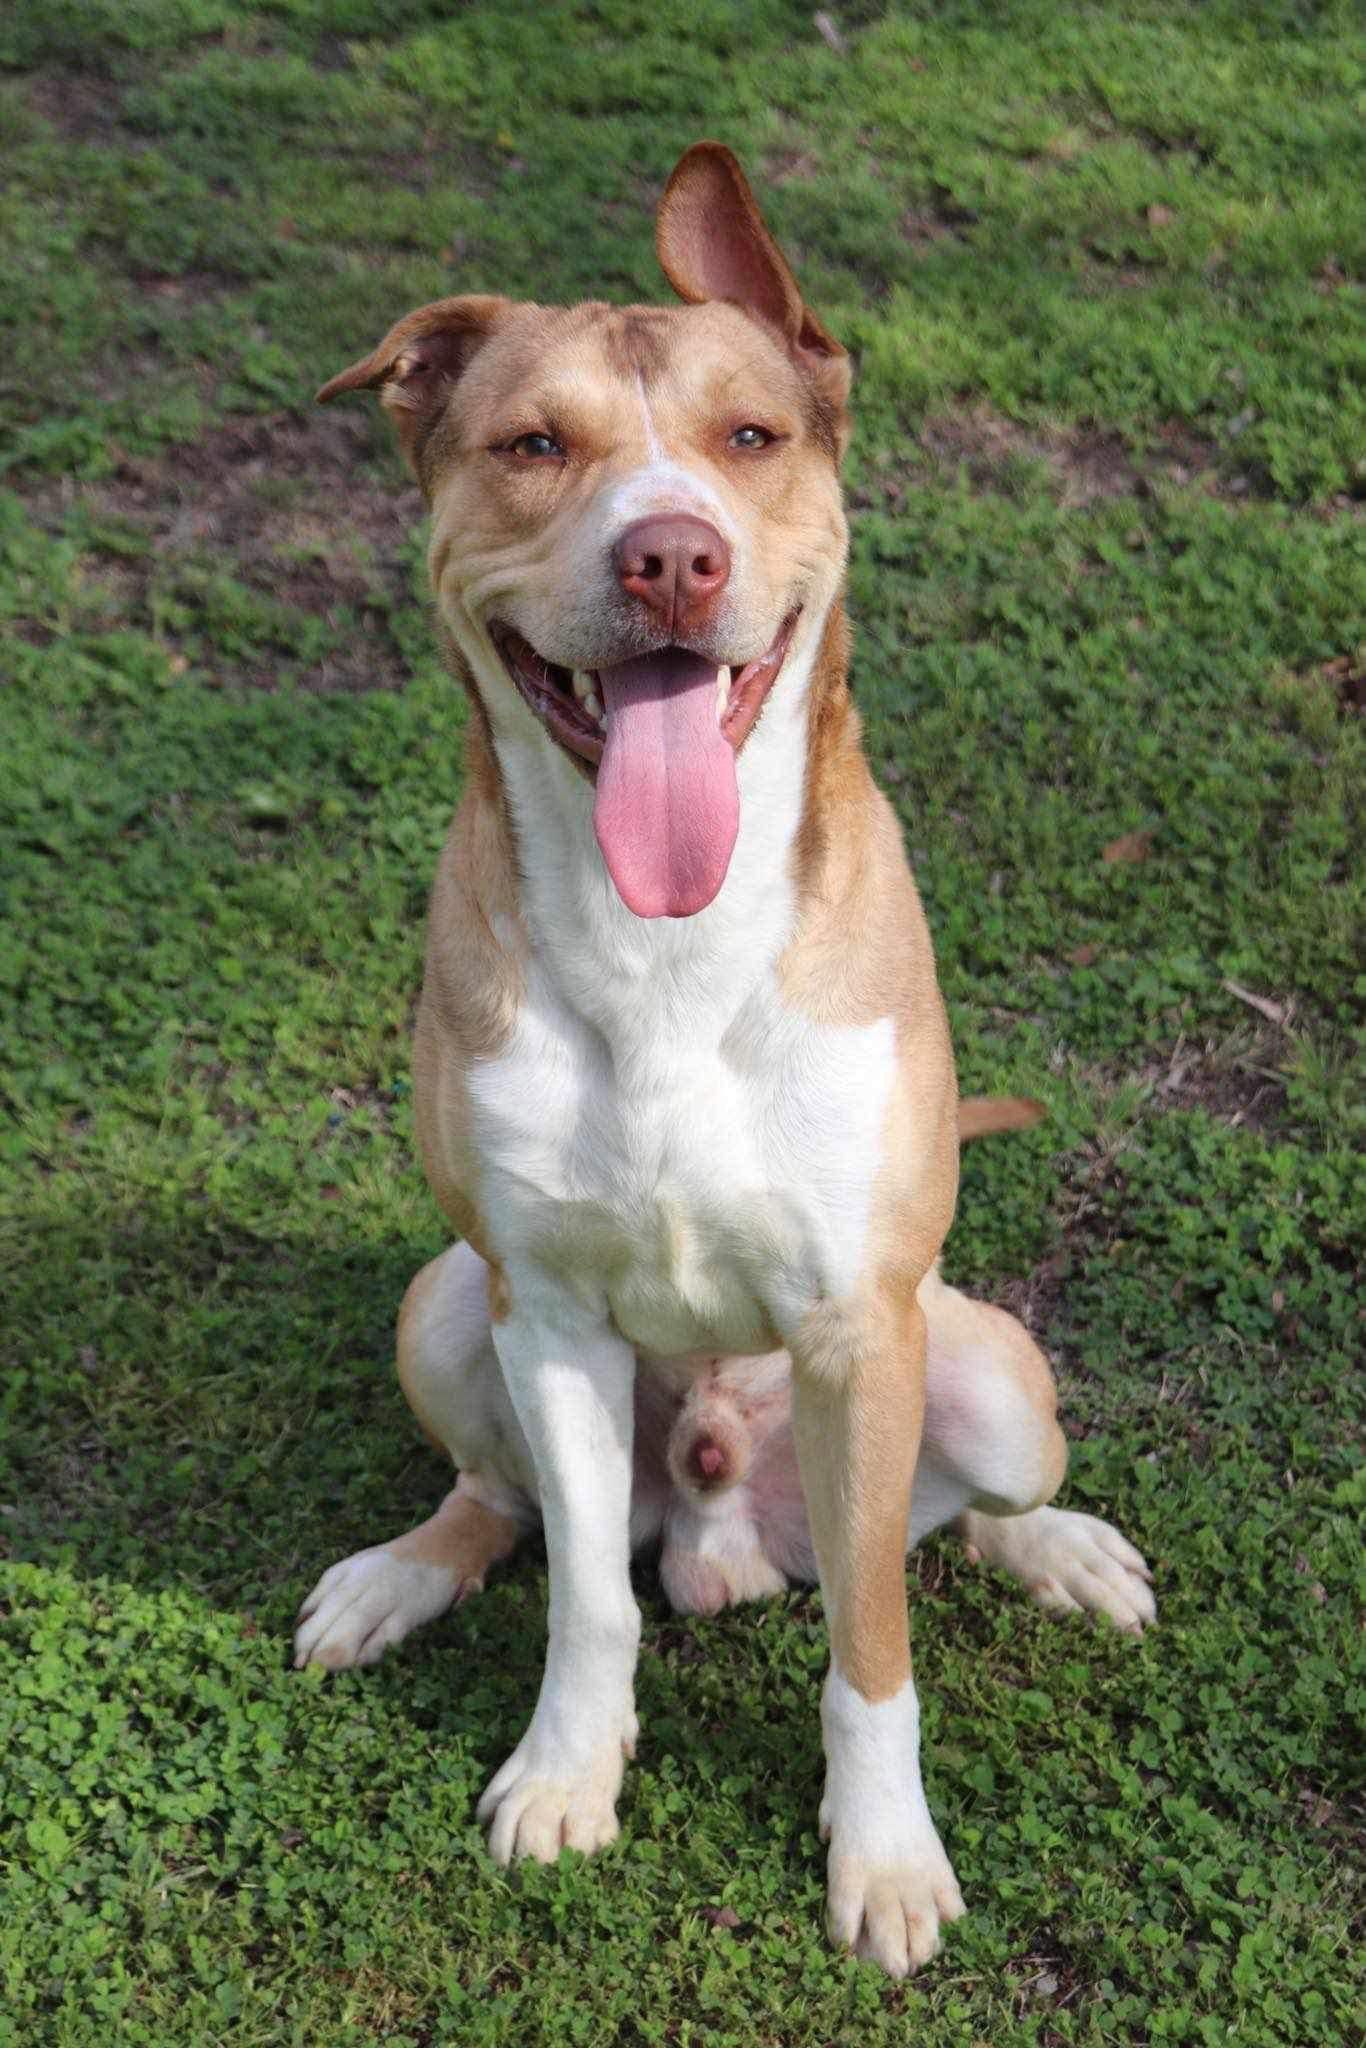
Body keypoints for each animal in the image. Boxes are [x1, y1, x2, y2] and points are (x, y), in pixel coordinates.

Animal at [299, 148, 1155, 1982]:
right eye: (531, 443)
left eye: (751, 435)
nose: (671, 558)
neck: (662, 947)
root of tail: (719, 1531)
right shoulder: (546, 1312)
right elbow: (584, 1598)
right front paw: (568, 1769)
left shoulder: (852, 1322)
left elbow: (875, 1650)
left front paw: (884, 1858)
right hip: (441, 1303)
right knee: (501, 1501)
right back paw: (399, 1575)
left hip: (984, 1370)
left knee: (957, 1517)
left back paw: (1058, 1551)